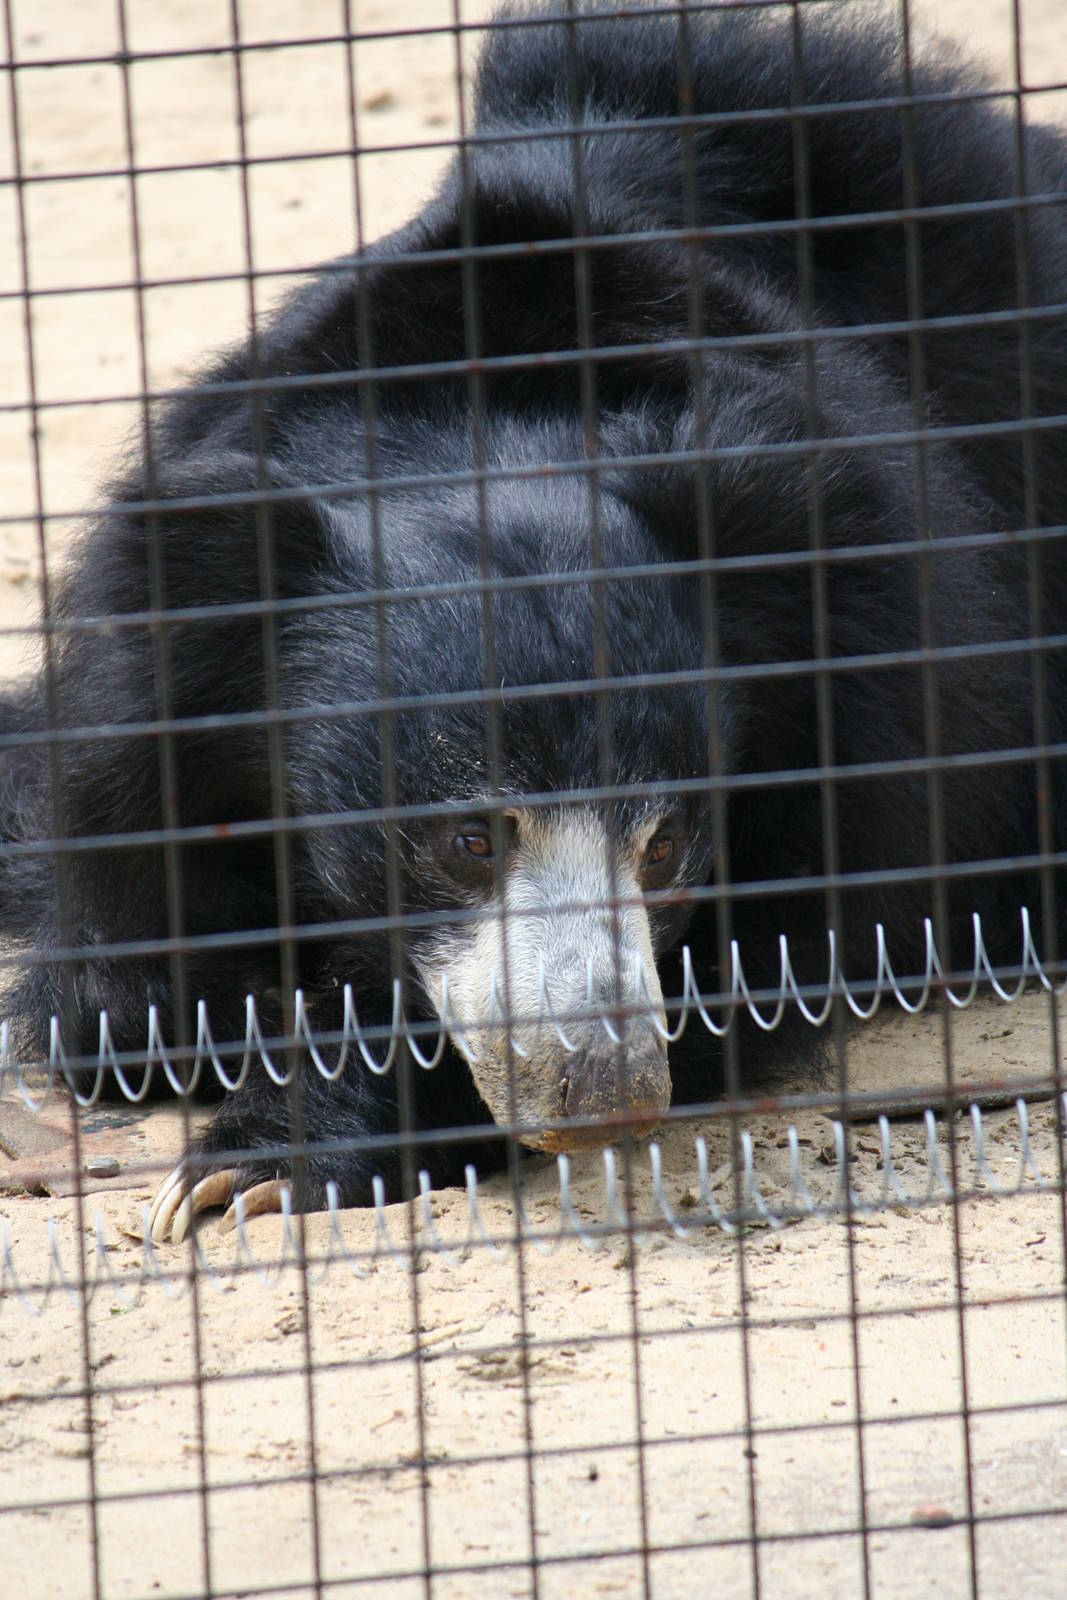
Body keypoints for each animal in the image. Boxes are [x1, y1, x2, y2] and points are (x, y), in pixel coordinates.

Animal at [0, 1, 1064, 1240]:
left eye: (667, 842)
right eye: (467, 838)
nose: (605, 1091)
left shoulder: (882, 688)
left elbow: (794, 936)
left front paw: (258, 1159)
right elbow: (122, 965)